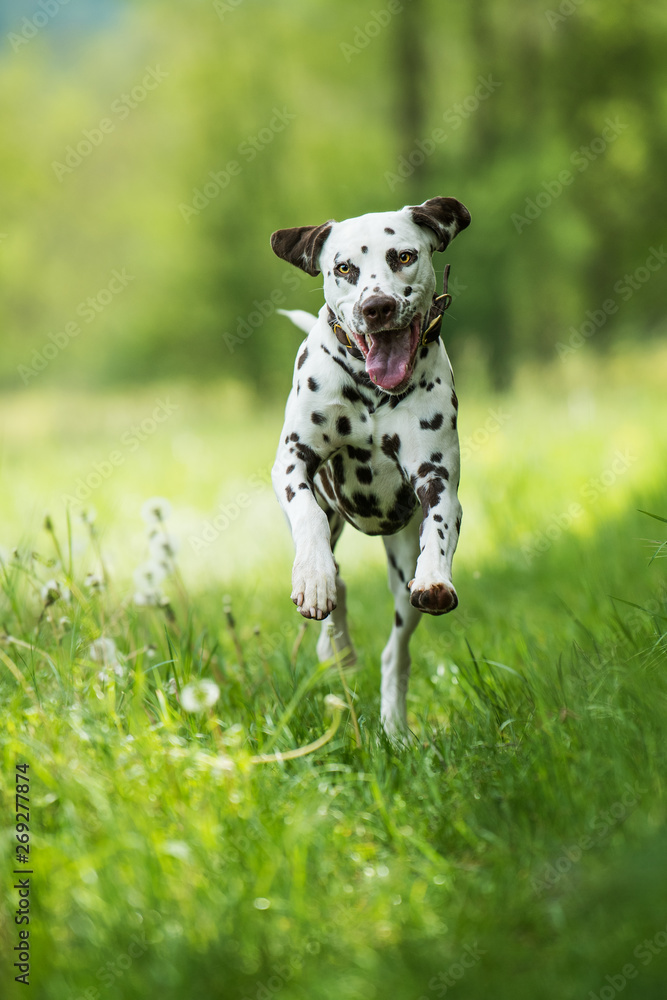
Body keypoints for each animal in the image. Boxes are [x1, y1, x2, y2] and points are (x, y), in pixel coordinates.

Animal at [270, 195, 470, 736]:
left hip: (401, 573)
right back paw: (335, 643)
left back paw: (395, 730)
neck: (371, 390)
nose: (375, 306)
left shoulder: (436, 480)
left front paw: (436, 578)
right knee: (336, 571)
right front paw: (312, 578)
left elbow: (440, 526)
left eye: (403, 256)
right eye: (344, 268)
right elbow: (308, 518)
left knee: (395, 652)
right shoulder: (294, 461)